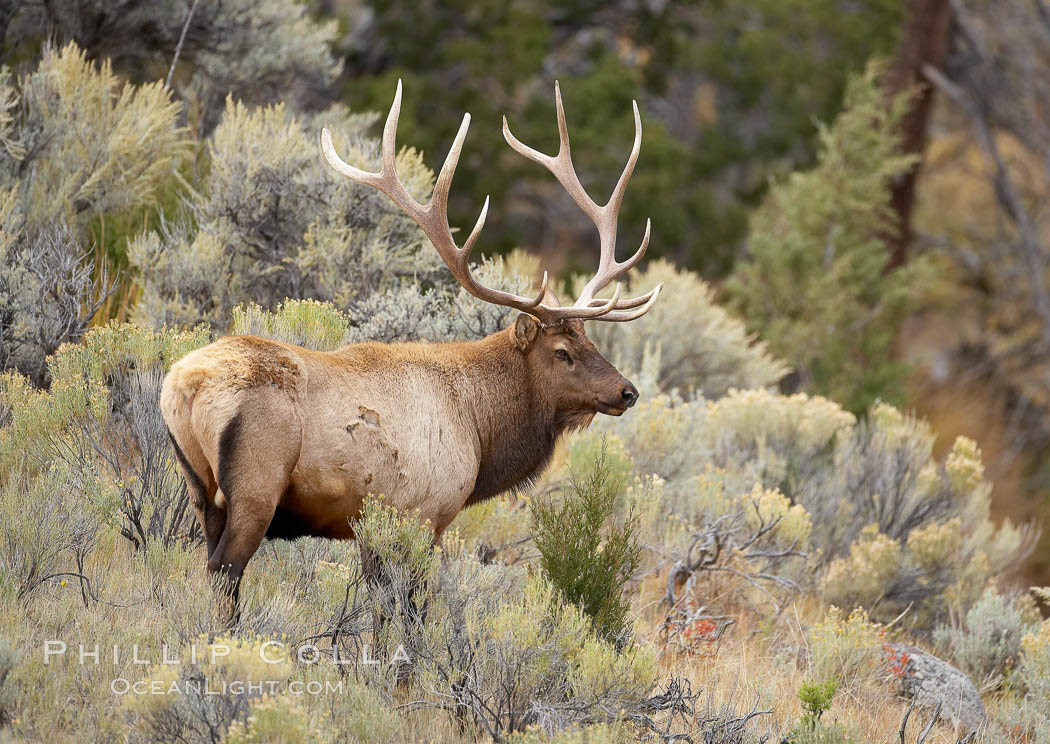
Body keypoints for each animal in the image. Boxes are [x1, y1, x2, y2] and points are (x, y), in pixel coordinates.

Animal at [159, 81, 659, 617]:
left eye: (590, 340)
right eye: (562, 351)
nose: (627, 391)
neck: (480, 431)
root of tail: (185, 386)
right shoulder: (421, 512)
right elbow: (407, 611)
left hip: (198, 488)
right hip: (256, 483)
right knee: (225, 570)